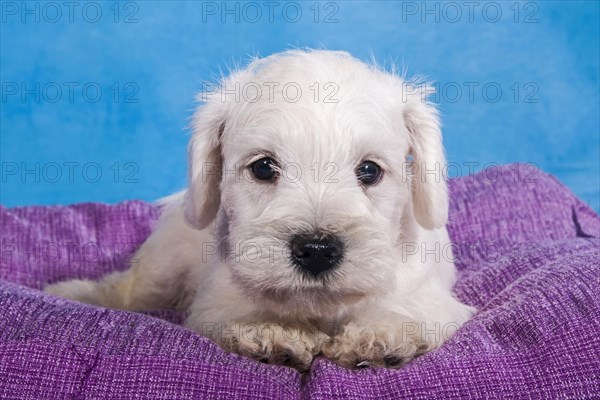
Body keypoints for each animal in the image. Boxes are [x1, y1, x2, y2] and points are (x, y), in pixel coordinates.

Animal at [47, 50, 476, 372]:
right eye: (264, 167)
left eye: (369, 170)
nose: (317, 250)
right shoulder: (216, 304)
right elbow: (241, 315)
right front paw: (272, 329)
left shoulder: (434, 299)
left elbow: (410, 309)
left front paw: (381, 332)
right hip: (159, 271)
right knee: (128, 291)